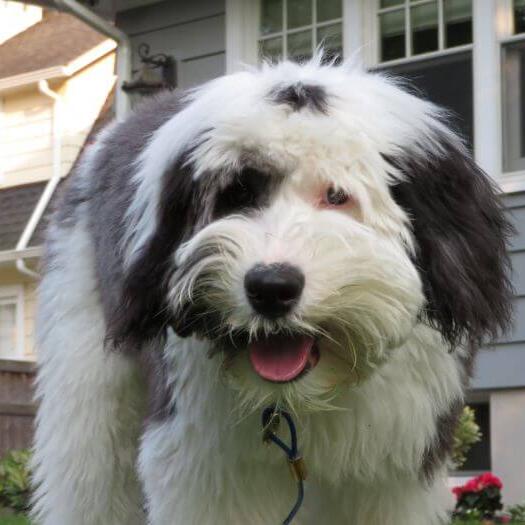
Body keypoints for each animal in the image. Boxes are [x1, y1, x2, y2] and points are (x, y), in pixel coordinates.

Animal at [30, 57, 510, 524]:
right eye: (237, 193)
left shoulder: (396, 465)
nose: (271, 288)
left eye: (338, 195)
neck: (311, 394)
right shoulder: (208, 464)